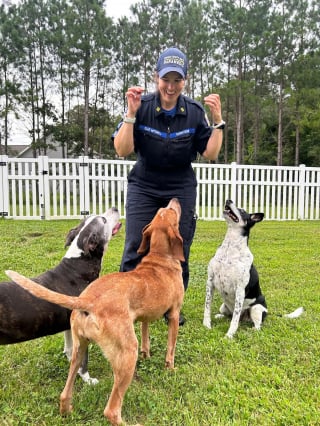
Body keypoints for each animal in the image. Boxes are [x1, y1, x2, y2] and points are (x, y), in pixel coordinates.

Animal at [5, 198, 185, 424]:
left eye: (163, 209)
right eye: (171, 211)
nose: (175, 200)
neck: (160, 257)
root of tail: (88, 300)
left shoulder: (145, 317)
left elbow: (146, 336)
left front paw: (147, 355)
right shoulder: (174, 313)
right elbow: (171, 347)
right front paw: (171, 368)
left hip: (78, 350)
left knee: (65, 393)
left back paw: (67, 411)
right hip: (127, 354)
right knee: (112, 409)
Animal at [202, 201, 268, 340]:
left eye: (242, 211)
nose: (228, 200)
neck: (230, 249)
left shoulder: (240, 289)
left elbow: (235, 319)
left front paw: (229, 335)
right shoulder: (210, 282)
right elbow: (207, 306)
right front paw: (206, 325)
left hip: (256, 308)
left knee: (256, 325)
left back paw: (252, 330)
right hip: (223, 306)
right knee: (228, 314)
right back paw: (220, 316)